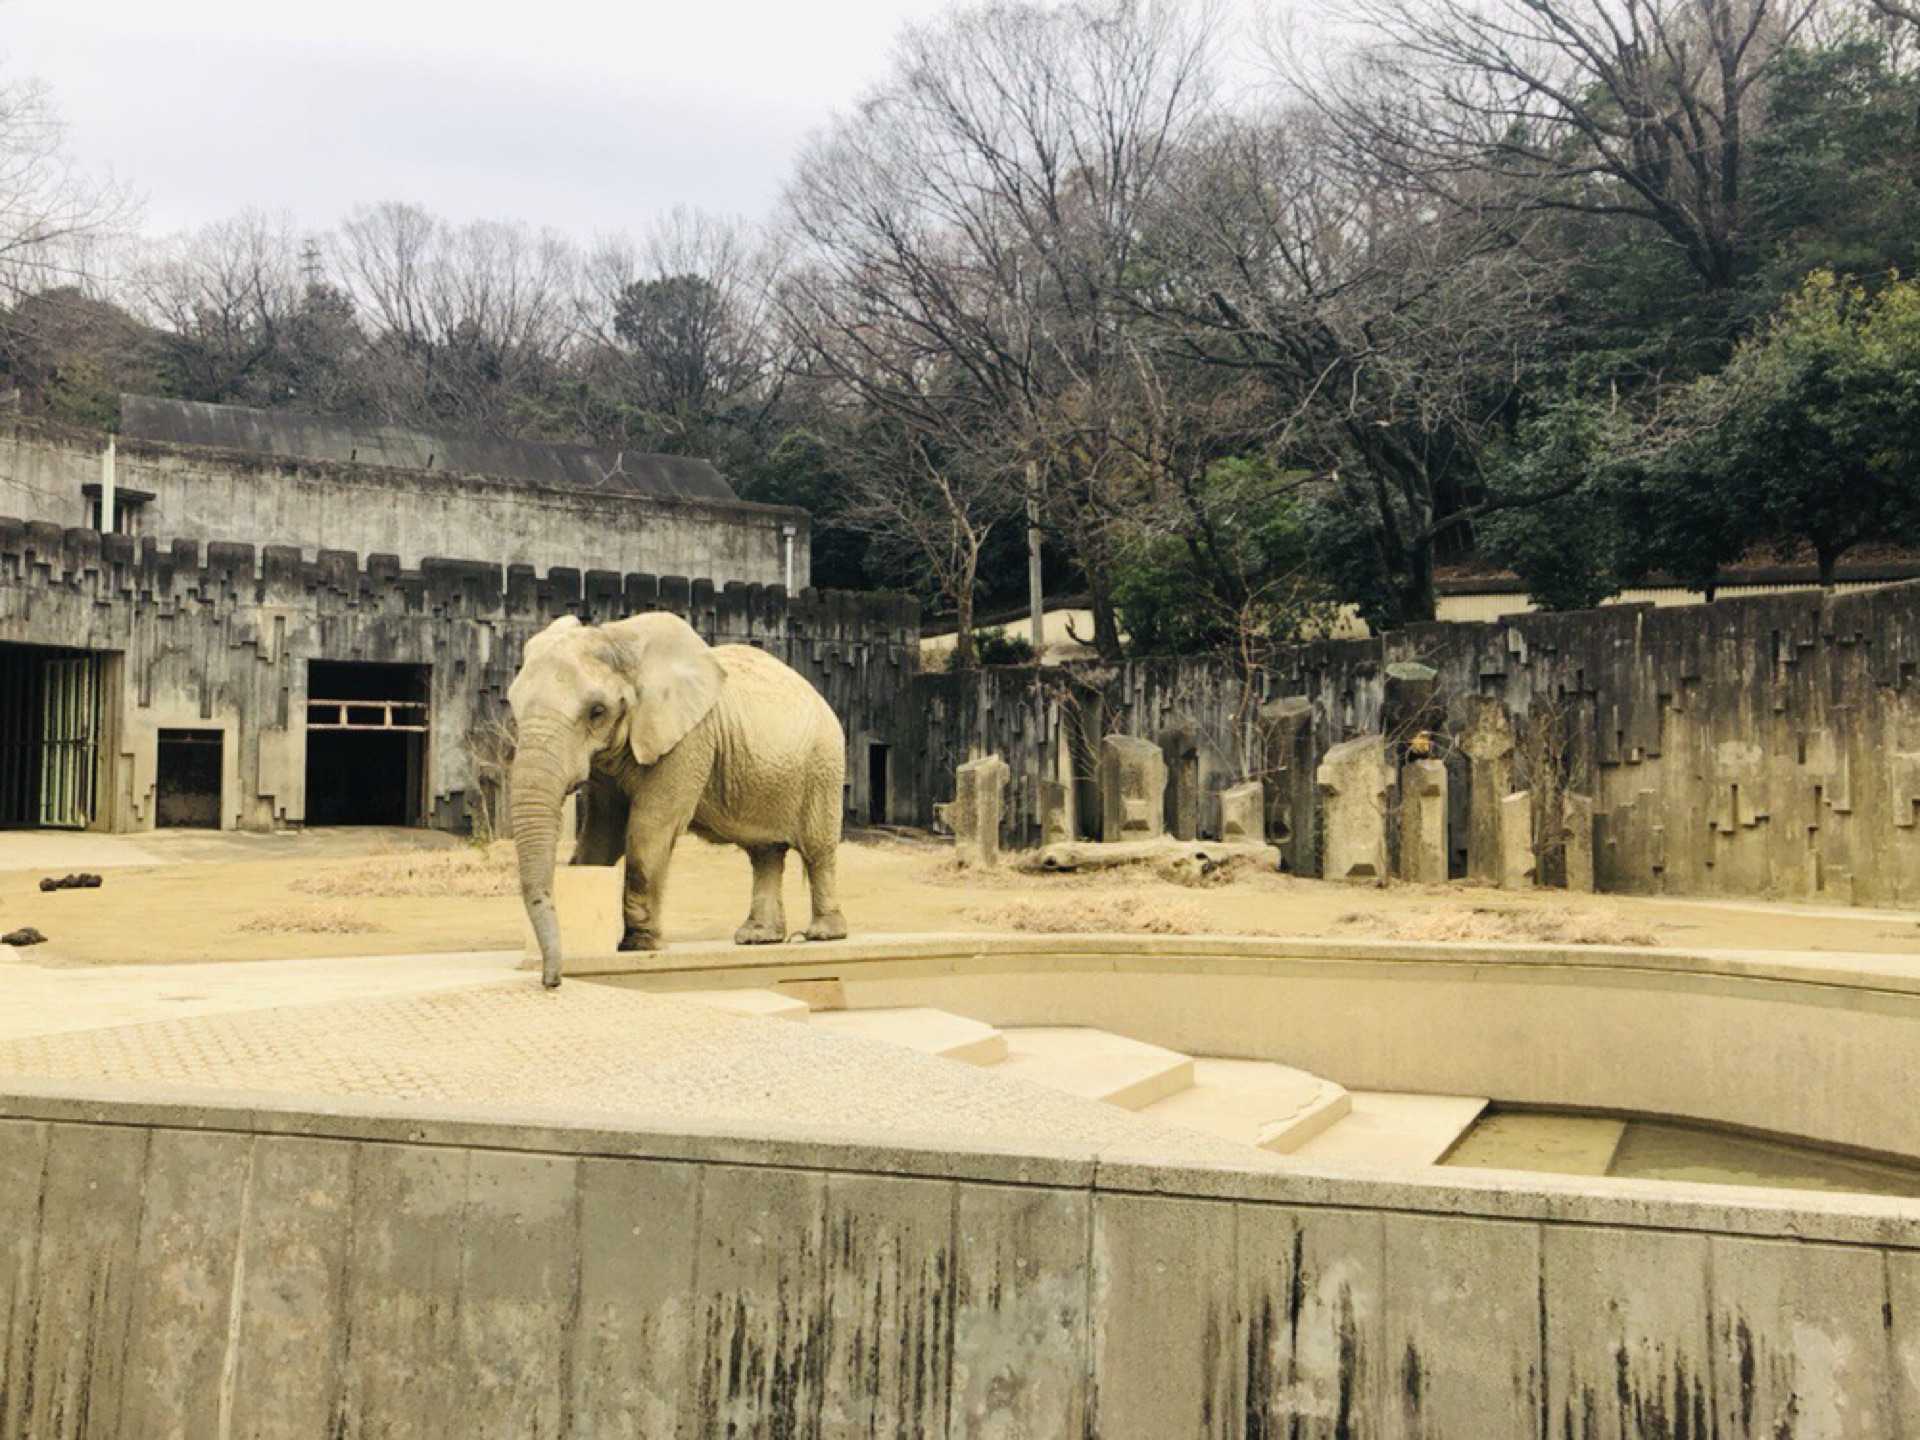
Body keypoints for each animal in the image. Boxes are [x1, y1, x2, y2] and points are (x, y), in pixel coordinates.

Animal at [510, 614, 848, 990]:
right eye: (513, 706)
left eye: (596, 712)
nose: (551, 981)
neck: (617, 638)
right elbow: (602, 833)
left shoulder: (690, 739)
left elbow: (649, 826)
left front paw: (640, 945)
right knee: (765, 853)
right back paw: (758, 938)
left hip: (823, 763)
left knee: (818, 850)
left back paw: (822, 935)